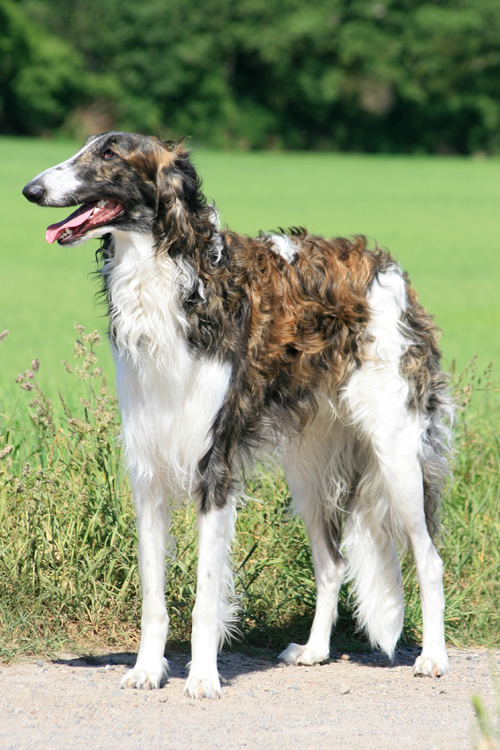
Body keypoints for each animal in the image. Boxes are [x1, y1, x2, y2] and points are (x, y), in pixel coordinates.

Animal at [23, 132, 454, 704]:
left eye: (110, 154)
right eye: (84, 149)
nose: (30, 189)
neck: (167, 277)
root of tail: (388, 268)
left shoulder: (215, 467)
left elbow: (206, 596)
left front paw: (202, 677)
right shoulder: (147, 469)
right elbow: (154, 597)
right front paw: (146, 670)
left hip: (397, 452)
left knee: (428, 559)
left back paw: (433, 657)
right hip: (309, 470)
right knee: (332, 563)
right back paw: (314, 651)